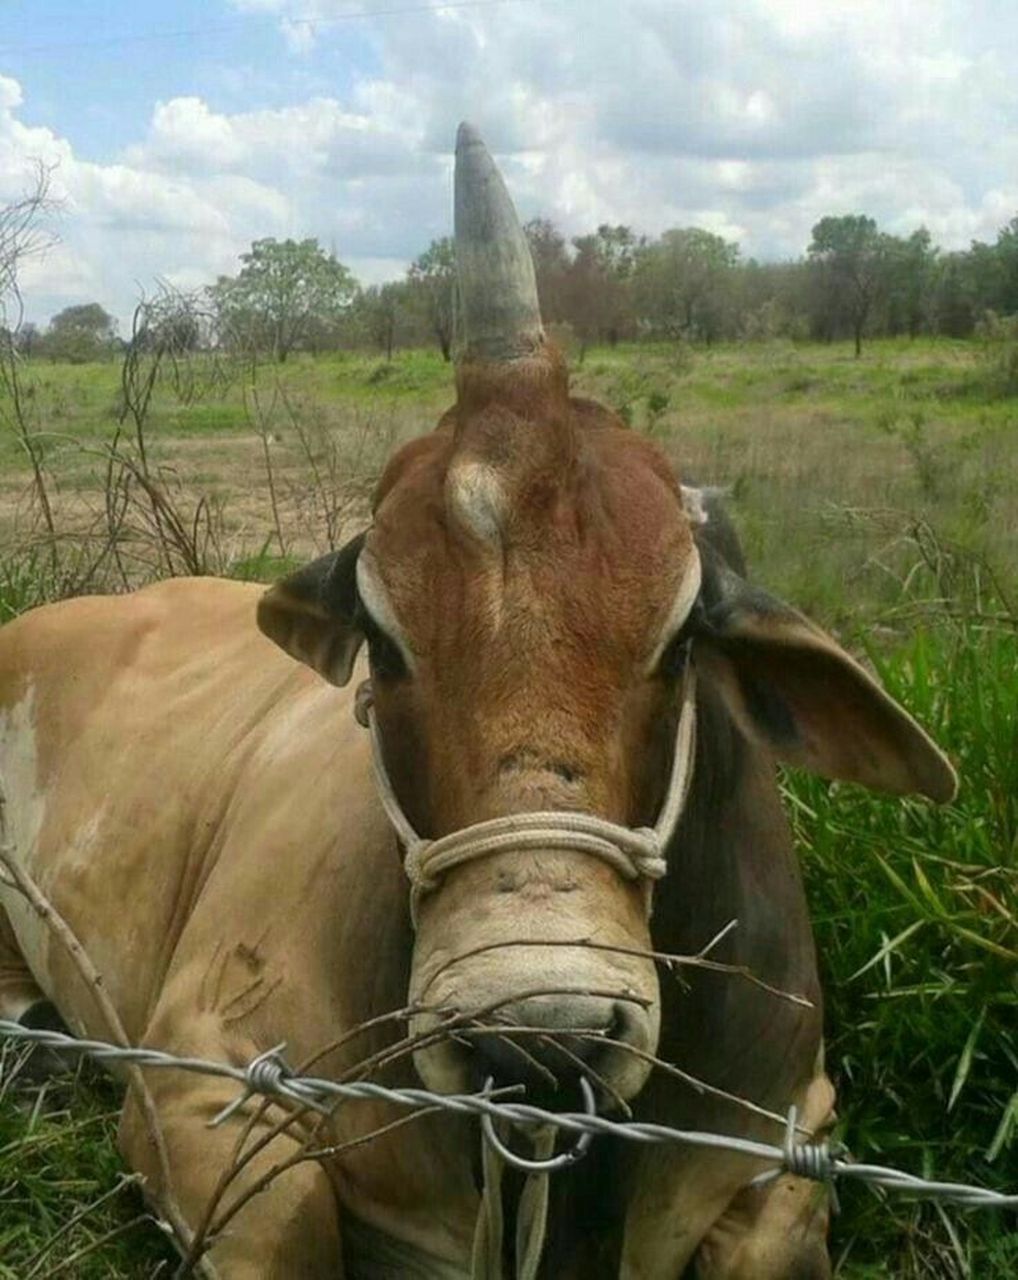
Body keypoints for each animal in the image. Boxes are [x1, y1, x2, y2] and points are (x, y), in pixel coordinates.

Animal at [1, 122, 957, 1280]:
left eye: (683, 632)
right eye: (381, 636)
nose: (538, 1018)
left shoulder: (792, 1139)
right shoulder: (196, 1078)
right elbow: (285, 1215)